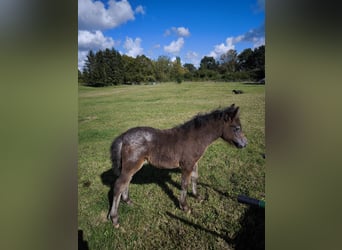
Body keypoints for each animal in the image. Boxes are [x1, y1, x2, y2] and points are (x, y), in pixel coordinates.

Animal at [108, 102, 247, 228]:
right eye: (236, 128)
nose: (245, 144)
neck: (195, 138)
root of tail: (124, 136)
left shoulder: (194, 163)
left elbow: (195, 178)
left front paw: (197, 196)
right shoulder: (186, 165)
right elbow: (184, 184)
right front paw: (185, 207)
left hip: (130, 167)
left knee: (126, 182)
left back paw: (128, 201)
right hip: (132, 165)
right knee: (119, 185)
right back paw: (115, 219)